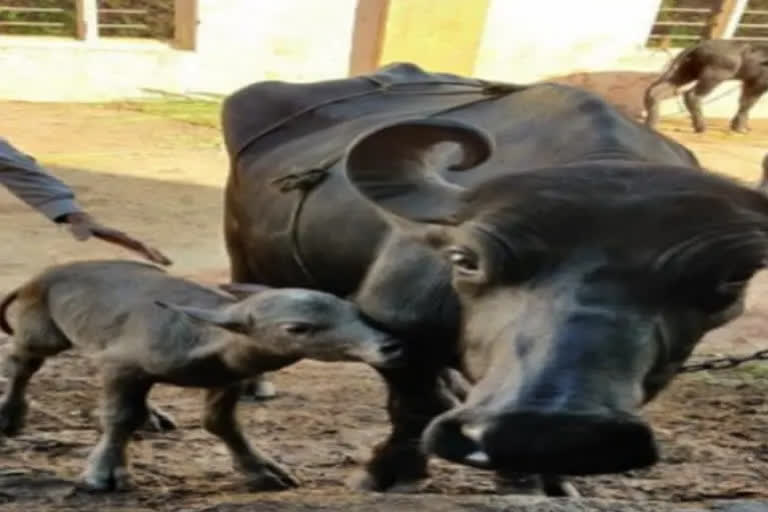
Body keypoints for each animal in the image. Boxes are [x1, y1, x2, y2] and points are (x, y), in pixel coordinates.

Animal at [0, 260, 404, 491]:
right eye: (298, 328)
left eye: (353, 310)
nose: (389, 346)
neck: (200, 336)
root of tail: (39, 277)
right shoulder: (120, 365)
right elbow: (119, 417)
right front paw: (103, 474)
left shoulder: (228, 379)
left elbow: (220, 423)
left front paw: (263, 470)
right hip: (43, 332)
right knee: (22, 361)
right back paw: (10, 415)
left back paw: (152, 415)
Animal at [221, 63, 768, 496]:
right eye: (465, 259)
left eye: (733, 278)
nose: (547, 427)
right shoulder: (393, 325)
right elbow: (413, 407)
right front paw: (391, 472)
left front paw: (539, 477)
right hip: (242, 251)